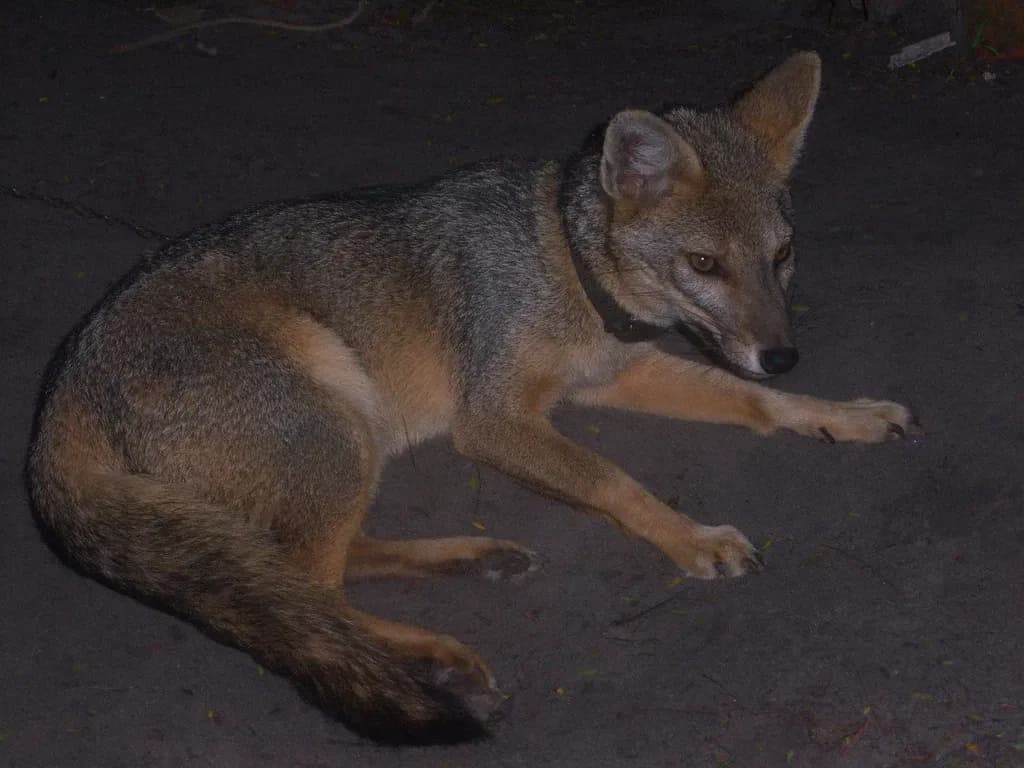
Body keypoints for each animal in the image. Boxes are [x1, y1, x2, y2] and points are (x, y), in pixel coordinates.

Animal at [27, 52, 917, 745]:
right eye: (703, 264)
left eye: (783, 254)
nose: (784, 354)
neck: (565, 263)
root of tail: (65, 382)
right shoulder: (492, 421)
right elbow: (614, 481)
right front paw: (689, 538)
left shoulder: (619, 374)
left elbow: (751, 403)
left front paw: (842, 415)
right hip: (337, 419)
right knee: (307, 594)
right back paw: (433, 658)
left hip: (350, 438)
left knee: (312, 574)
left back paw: (468, 562)